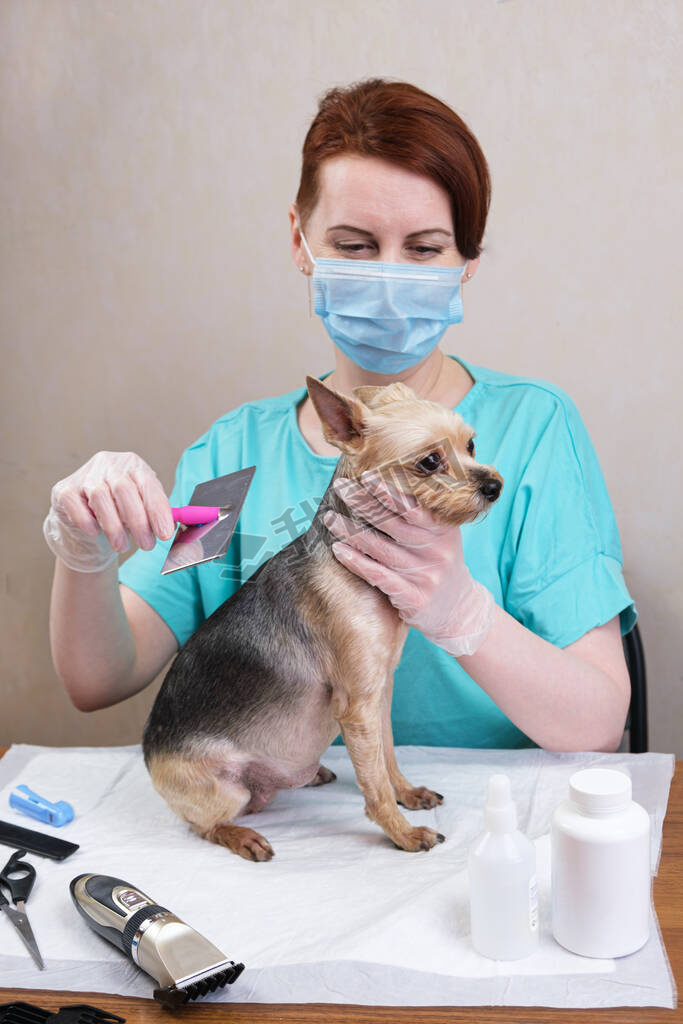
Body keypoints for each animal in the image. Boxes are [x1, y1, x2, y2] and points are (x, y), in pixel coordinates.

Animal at [143, 376, 501, 856]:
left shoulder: (379, 691)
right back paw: (241, 836)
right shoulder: (358, 705)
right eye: (430, 461)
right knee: (205, 825)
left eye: (471, 445)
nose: (495, 485)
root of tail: (148, 754)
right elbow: (374, 784)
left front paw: (407, 793)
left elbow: (387, 756)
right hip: (222, 789)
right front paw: (401, 832)